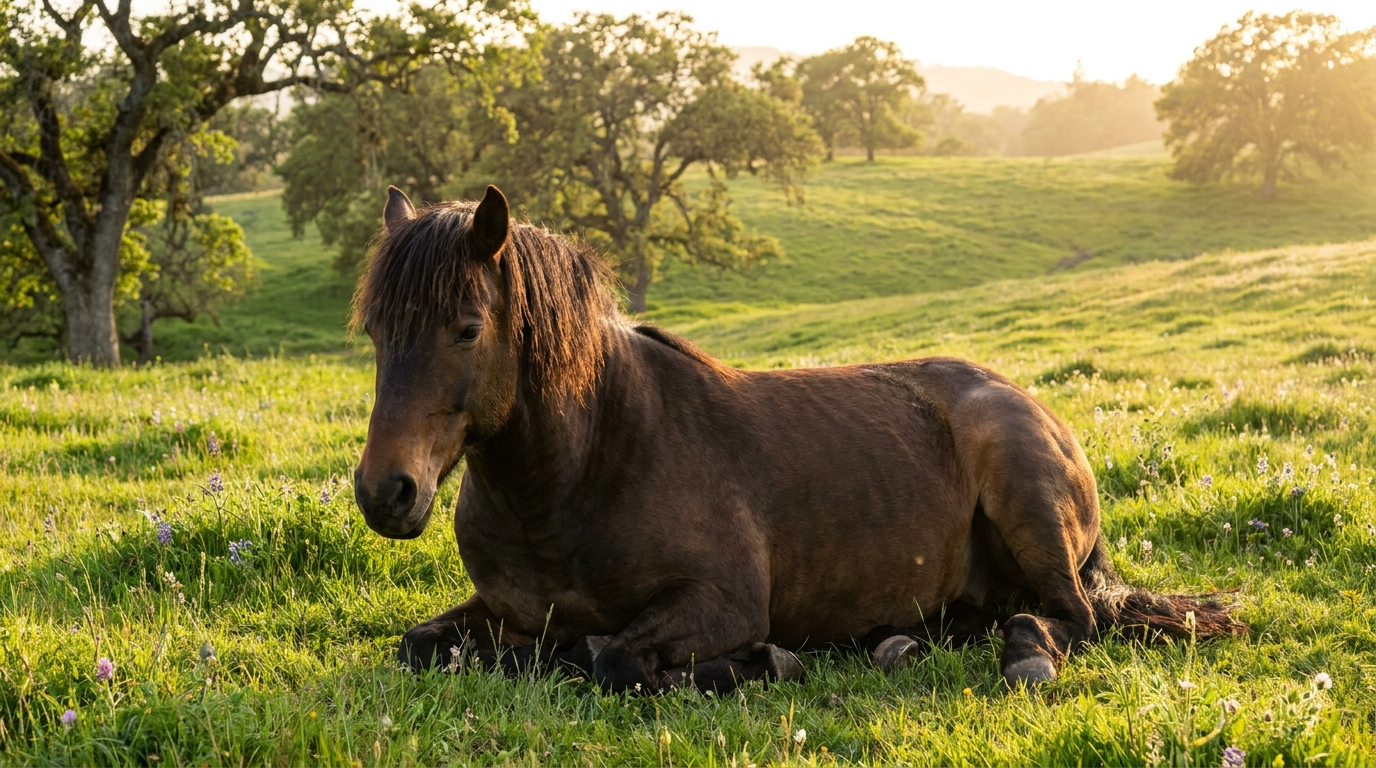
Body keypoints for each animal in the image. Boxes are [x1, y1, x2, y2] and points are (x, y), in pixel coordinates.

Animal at [352, 184, 1246, 694]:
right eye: (374, 331)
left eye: (468, 329)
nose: (385, 491)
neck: (580, 476)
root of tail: (1033, 405)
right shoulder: (501, 610)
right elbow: (418, 645)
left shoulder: (721, 601)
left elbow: (613, 659)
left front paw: (750, 662)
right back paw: (897, 644)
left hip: (1029, 506)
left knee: (1066, 617)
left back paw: (1023, 655)